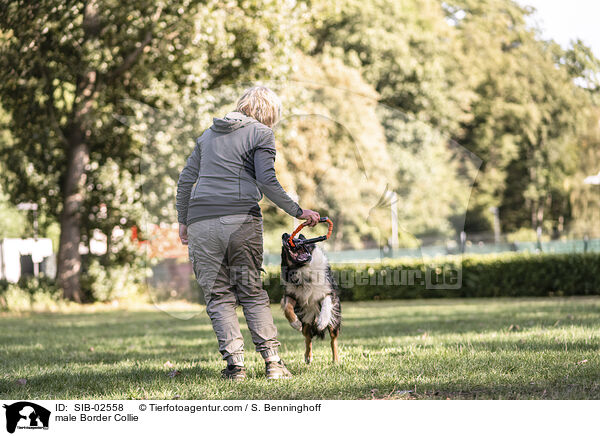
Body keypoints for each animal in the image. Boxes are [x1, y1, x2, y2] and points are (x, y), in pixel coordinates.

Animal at [278, 233, 340, 362]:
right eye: (283, 249)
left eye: (299, 238)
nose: (285, 235)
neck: (304, 269)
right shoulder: (291, 295)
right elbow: (287, 308)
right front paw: (295, 323)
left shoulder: (330, 292)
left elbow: (326, 304)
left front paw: (322, 322)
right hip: (306, 319)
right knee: (308, 337)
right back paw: (308, 356)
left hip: (334, 321)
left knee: (333, 339)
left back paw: (336, 360)